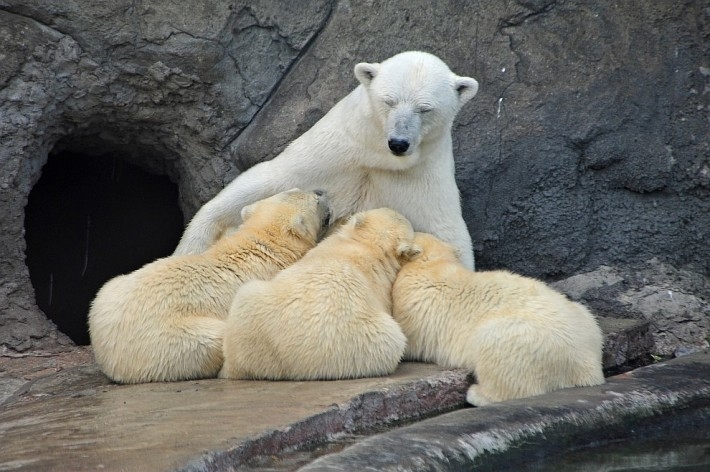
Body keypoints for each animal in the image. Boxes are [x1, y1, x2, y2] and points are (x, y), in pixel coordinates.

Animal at [175, 51, 482, 270]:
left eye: (425, 108)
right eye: (389, 101)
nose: (398, 142)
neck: (378, 157)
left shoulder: (421, 181)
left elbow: (448, 235)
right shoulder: (333, 153)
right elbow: (268, 182)